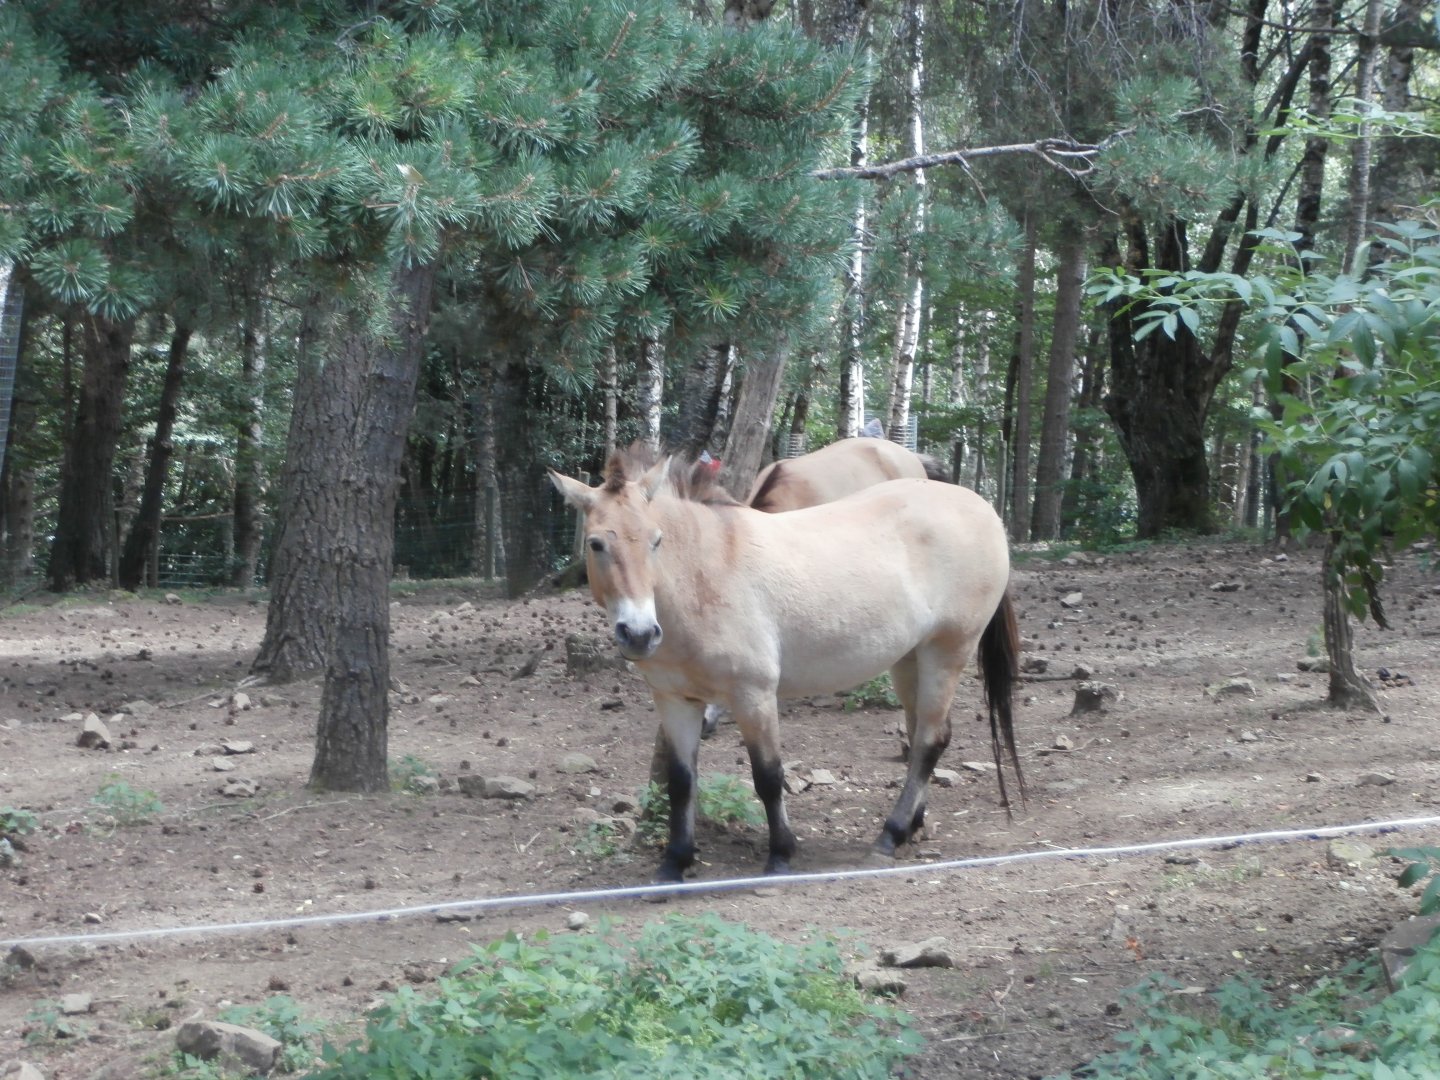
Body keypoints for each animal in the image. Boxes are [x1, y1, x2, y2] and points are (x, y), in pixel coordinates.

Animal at [550, 446, 1024, 883]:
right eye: (596, 543)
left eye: (656, 540)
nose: (639, 633)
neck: (704, 574)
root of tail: (981, 508)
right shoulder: (674, 700)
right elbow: (681, 782)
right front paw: (674, 862)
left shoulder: (754, 695)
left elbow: (768, 775)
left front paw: (780, 854)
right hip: (909, 659)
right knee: (920, 732)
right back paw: (912, 826)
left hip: (947, 651)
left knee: (930, 740)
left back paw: (889, 835)